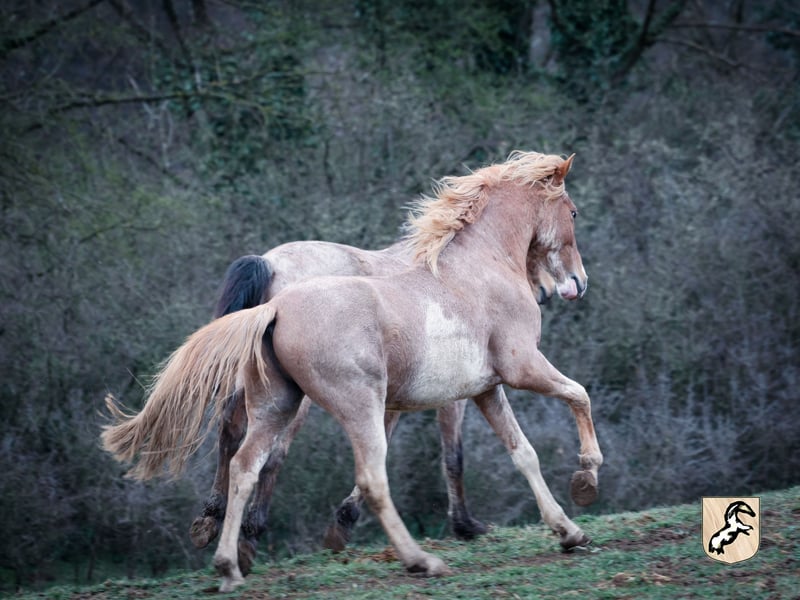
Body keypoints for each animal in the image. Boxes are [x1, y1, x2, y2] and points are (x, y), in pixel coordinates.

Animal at [190, 238, 575, 574]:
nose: (557, 289)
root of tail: (270, 263)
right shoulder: (454, 393)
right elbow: (453, 456)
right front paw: (465, 525)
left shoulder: (394, 398)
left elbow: (382, 449)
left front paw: (345, 522)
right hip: (301, 398)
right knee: (273, 453)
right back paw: (249, 536)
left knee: (232, 429)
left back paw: (211, 521)